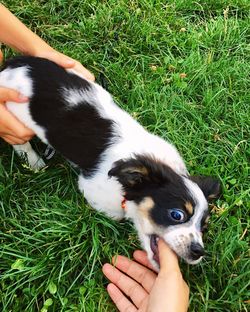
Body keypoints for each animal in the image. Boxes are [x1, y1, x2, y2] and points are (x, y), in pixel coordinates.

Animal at [0, 55, 221, 268]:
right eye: (177, 215)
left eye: (204, 226)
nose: (198, 251)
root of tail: (13, 65)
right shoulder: (91, 187)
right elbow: (115, 213)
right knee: (20, 143)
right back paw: (34, 161)